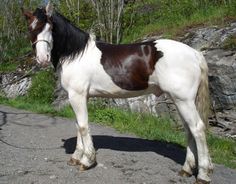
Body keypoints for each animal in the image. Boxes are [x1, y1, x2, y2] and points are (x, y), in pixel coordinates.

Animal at [23, 2, 213, 184]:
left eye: (49, 27)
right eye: (31, 29)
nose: (43, 59)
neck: (76, 54)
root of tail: (195, 53)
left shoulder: (77, 95)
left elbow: (83, 126)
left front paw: (87, 161)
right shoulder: (78, 97)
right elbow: (78, 125)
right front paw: (76, 157)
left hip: (183, 100)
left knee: (197, 129)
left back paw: (203, 175)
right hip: (179, 100)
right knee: (189, 130)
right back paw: (187, 169)